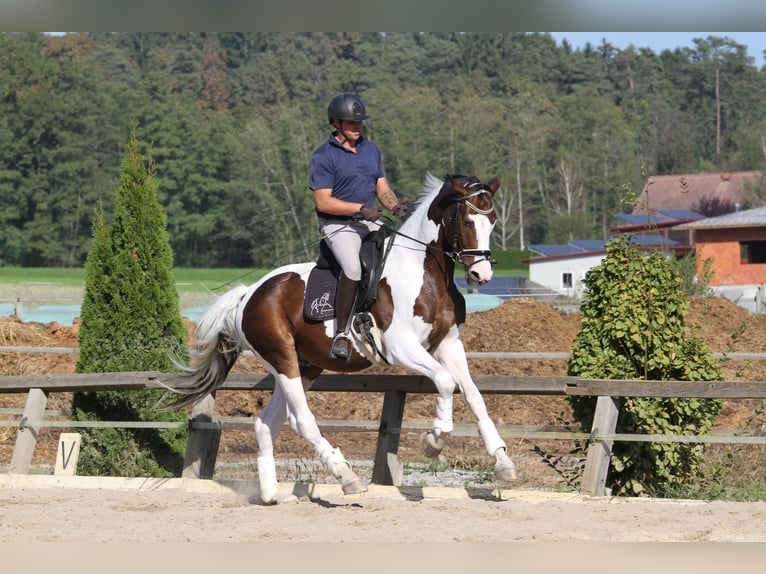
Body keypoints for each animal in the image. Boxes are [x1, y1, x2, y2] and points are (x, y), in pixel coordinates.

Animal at [166, 173, 517, 504]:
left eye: (492, 220)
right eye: (468, 220)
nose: (481, 275)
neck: (426, 273)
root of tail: (249, 294)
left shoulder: (449, 345)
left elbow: (474, 395)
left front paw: (503, 462)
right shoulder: (401, 347)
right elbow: (445, 381)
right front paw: (434, 440)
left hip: (305, 366)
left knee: (266, 422)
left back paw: (272, 494)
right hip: (282, 358)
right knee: (301, 420)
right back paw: (346, 476)